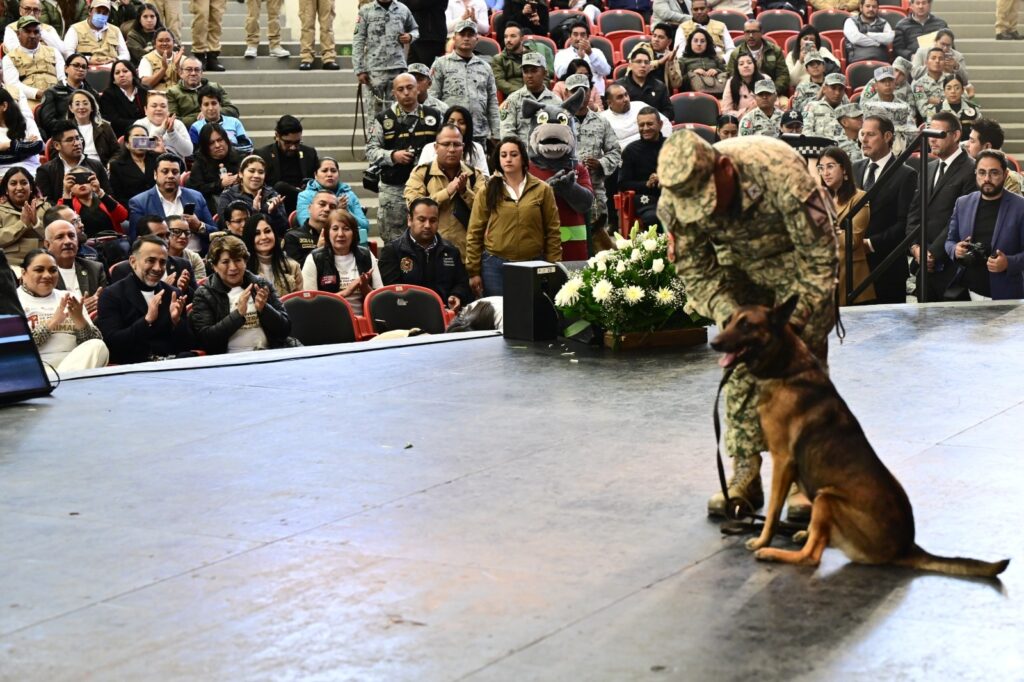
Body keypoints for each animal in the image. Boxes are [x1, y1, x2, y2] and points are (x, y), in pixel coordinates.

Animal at [712, 294, 1007, 577]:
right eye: (728, 321)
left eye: (746, 325)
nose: (714, 343)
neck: (787, 369)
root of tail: (906, 546)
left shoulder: (783, 461)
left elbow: (773, 511)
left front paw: (763, 540)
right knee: (817, 541)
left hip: (827, 498)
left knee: (811, 557)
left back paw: (774, 553)